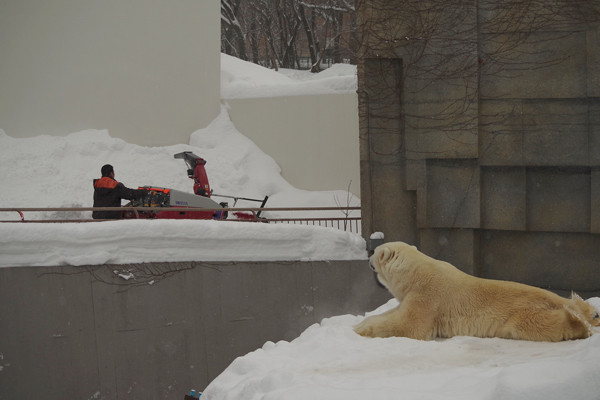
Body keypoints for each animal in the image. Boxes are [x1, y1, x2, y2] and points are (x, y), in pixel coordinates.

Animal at [354, 241, 600, 340]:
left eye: (375, 251)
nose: (368, 258)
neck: (416, 273)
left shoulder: (428, 296)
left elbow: (410, 325)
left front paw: (362, 329)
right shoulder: (413, 295)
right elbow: (395, 313)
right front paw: (361, 322)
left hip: (524, 312)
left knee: (537, 325)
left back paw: (580, 324)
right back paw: (590, 312)